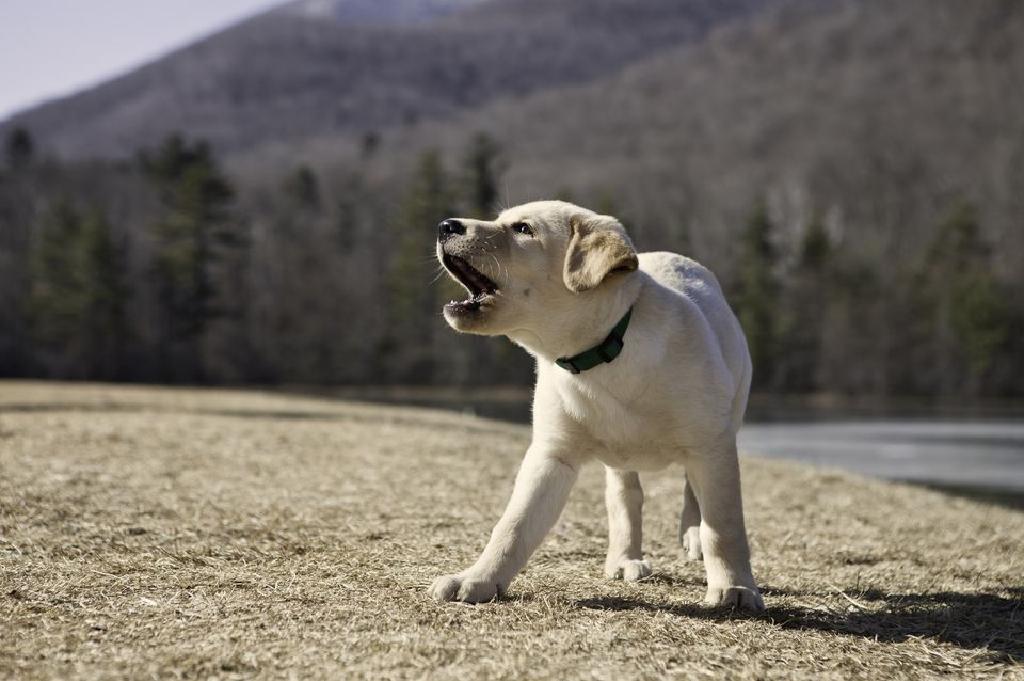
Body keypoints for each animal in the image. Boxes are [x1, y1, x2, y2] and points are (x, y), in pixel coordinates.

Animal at [430, 199, 761, 606]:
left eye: (523, 229)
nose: (445, 225)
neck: (603, 354)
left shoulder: (711, 445)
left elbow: (723, 525)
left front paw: (735, 587)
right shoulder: (552, 454)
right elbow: (514, 524)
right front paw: (477, 579)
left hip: (727, 416)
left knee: (692, 493)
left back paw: (691, 535)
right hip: (621, 459)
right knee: (625, 498)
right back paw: (624, 559)